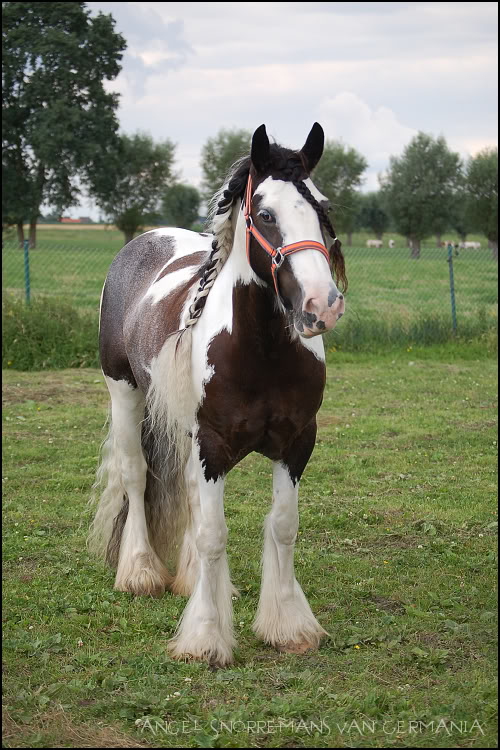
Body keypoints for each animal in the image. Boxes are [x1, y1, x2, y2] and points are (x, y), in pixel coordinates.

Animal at [89, 123, 348, 668]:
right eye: (266, 214)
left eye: (323, 208)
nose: (322, 305)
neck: (259, 349)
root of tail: (143, 241)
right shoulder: (212, 445)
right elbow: (213, 533)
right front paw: (205, 637)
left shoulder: (297, 444)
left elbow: (283, 525)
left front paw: (288, 625)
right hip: (125, 394)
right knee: (135, 475)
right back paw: (140, 571)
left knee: (185, 488)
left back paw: (189, 580)